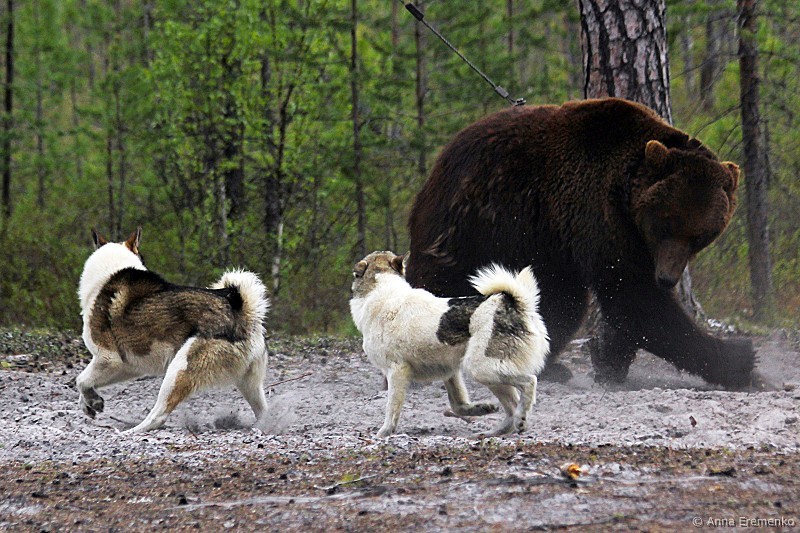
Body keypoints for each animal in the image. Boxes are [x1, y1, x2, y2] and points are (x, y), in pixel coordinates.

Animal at [77, 227, 270, 433]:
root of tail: (241, 313)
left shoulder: (108, 359)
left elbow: (81, 380)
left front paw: (92, 401)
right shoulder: (127, 366)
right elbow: (86, 383)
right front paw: (89, 404)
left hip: (178, 371)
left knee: (158, 415)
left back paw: (131, 431)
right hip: (249, 385)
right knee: (263, 410)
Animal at [350, 251, 549, 437]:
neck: (383, 289)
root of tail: (512, 303)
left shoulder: (397, 371)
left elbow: (391, 408)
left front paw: (384, 433)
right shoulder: (450, 372)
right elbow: (458, 405)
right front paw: (481, 408)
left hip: (482, 368)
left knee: (529, 382)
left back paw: (521, 418)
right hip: (490, 375)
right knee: (511, 409)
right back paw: (493, 432)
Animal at [405, 97, 755, 388]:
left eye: (700, 235)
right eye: (665, 223)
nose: (668, 278)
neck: (625, 193)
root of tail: (443, 157)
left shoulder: (618, 235)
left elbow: (626, 301)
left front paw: (611, 361)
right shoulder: (599, 215)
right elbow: (634, 298)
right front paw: (741, 360)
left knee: (561, 302)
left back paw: (548, 364)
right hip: (475, 221)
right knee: (443, 280)